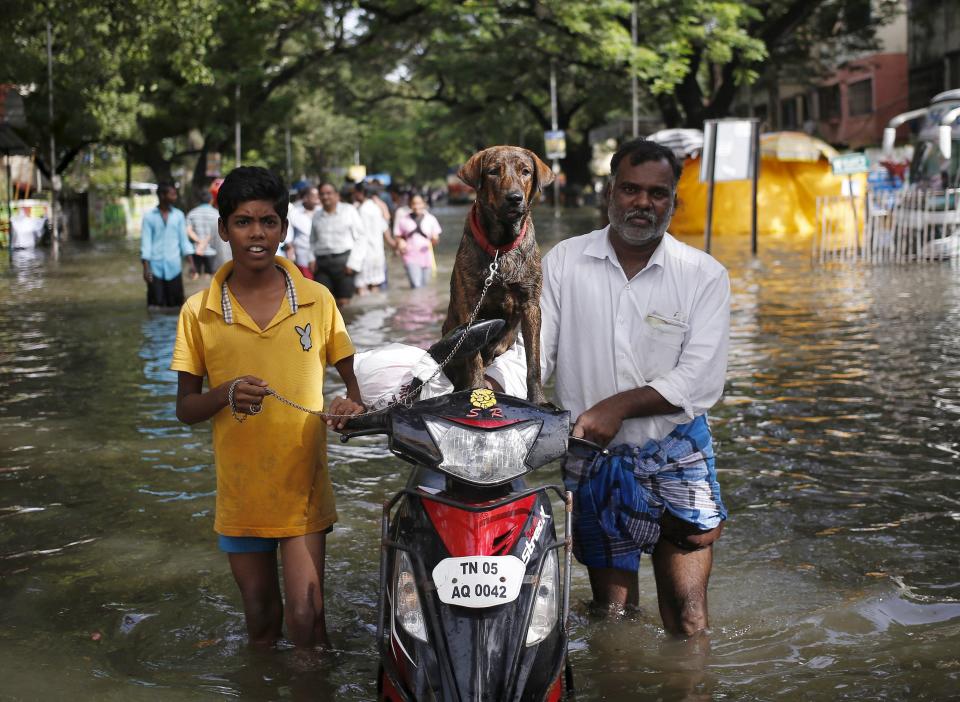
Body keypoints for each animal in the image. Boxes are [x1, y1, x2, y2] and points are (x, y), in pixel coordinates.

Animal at [442, 146, 556, 404]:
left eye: (526, 171)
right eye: (493, 171)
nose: (514, 197)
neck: (500, 247)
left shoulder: (531, 305)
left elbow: (533, 362)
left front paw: (538, 399)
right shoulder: (469, 304)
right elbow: (473, 356)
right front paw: (477, 388)